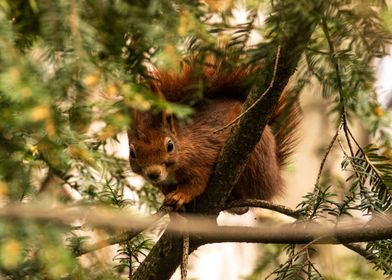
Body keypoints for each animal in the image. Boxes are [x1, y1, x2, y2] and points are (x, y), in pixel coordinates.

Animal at [127, 55, 298, 211]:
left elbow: (197, 182)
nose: (153, 174)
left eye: (170, 146)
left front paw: (181, 195)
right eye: (132, 153)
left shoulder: (202, 158)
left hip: (254, 159)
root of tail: (275, 175)